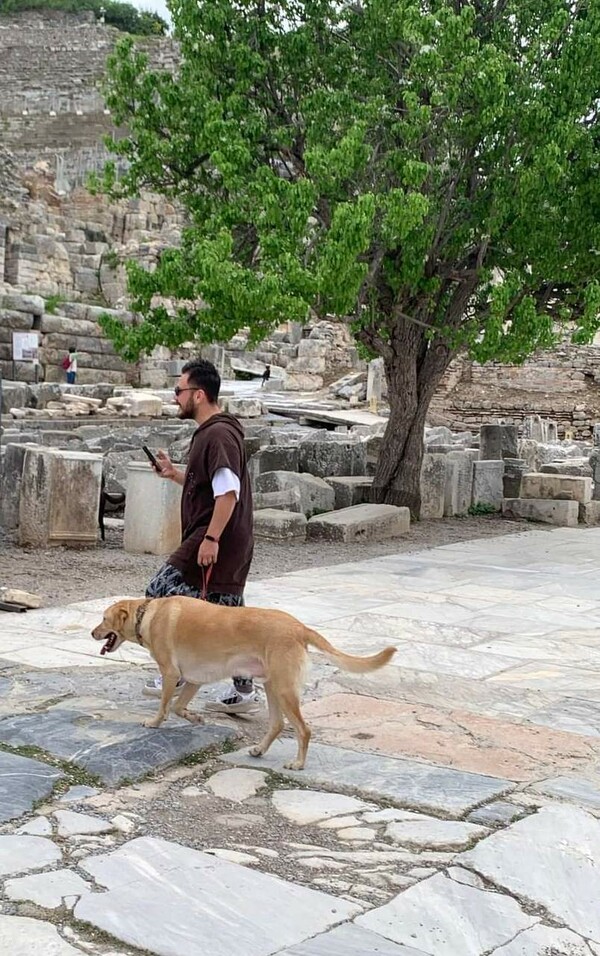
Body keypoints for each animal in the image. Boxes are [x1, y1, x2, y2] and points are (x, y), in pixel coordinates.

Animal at [91, 596, 396, 768]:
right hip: (273, 686)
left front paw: (154, 722)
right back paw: (260, 750)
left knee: (304, 729)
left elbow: (166, 705)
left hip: (284, 690)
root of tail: (299, 627)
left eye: (103, 619)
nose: (92, 633)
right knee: (277, 724)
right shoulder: (193, 680)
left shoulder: (171, 674)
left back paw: (298, 763)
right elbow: (178, 707)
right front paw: (194, 717)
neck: (148, 614)